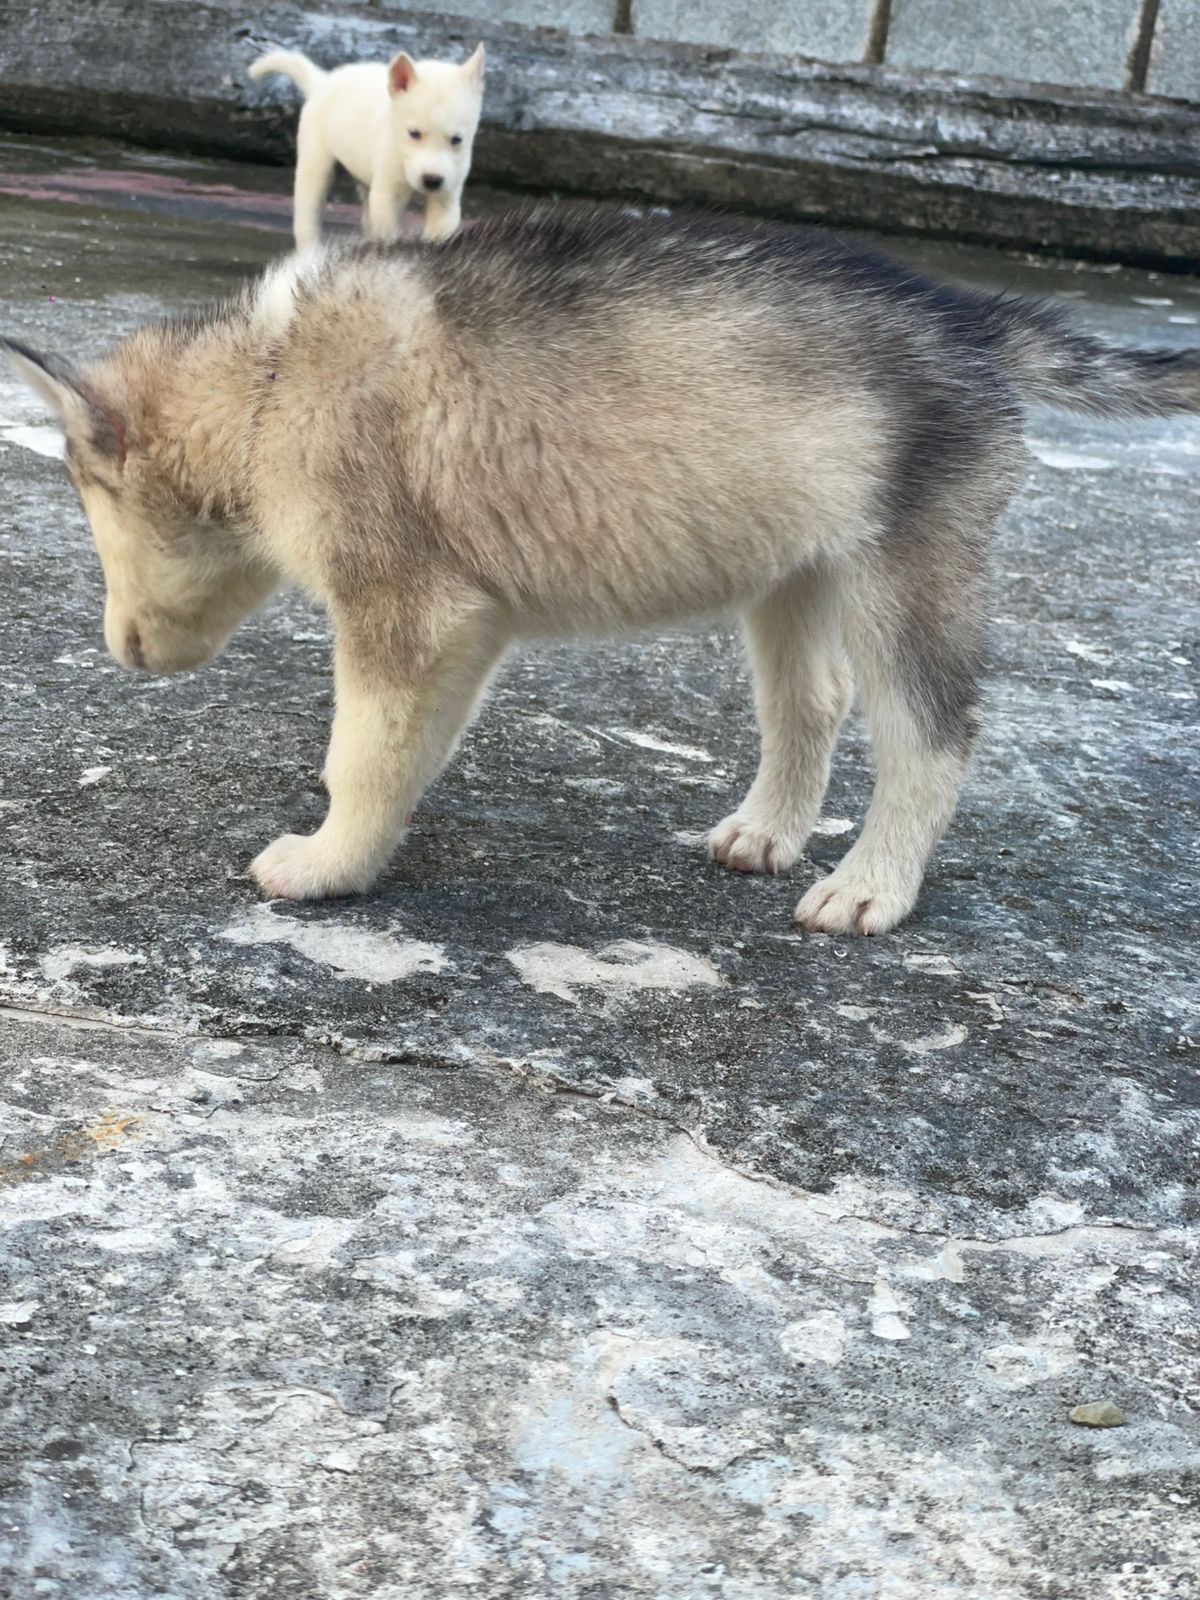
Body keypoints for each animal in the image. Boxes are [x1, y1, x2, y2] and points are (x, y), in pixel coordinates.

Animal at [4, 212, 1196, 934]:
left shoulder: (407, 605)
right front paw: (374, 827)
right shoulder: (466, 622)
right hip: (797, 562)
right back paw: (769, 830)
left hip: (905, 571)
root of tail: (971, 317)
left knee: (930, 736)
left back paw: (871, 885)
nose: (118, 650)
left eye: (93, 509)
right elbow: (402, 744)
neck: (266, 380)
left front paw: (331, 860)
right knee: (811, 699)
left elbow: (366, 749)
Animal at [251, 43, 486, 244]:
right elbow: (390, 235)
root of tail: (323, 81)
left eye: (457, 140)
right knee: (307, 220)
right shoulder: (386, 197)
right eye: (414, 134)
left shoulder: (446, 201)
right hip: (316, 164)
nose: (432, 180)